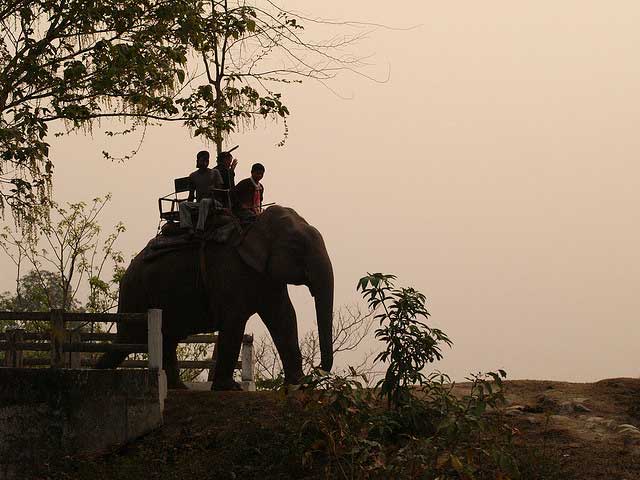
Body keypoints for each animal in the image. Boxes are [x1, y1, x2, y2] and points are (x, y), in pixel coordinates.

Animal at [97, 206, 336, 390]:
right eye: (297, 247)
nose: (317, 370)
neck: (255, 224)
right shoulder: (229, 269)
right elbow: (234, 320)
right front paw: (229, 388)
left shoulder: (266, 275)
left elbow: (283, 316)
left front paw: (297, 385)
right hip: (137, 292)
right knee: (130, 338)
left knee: (165, 339)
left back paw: (178, 387)